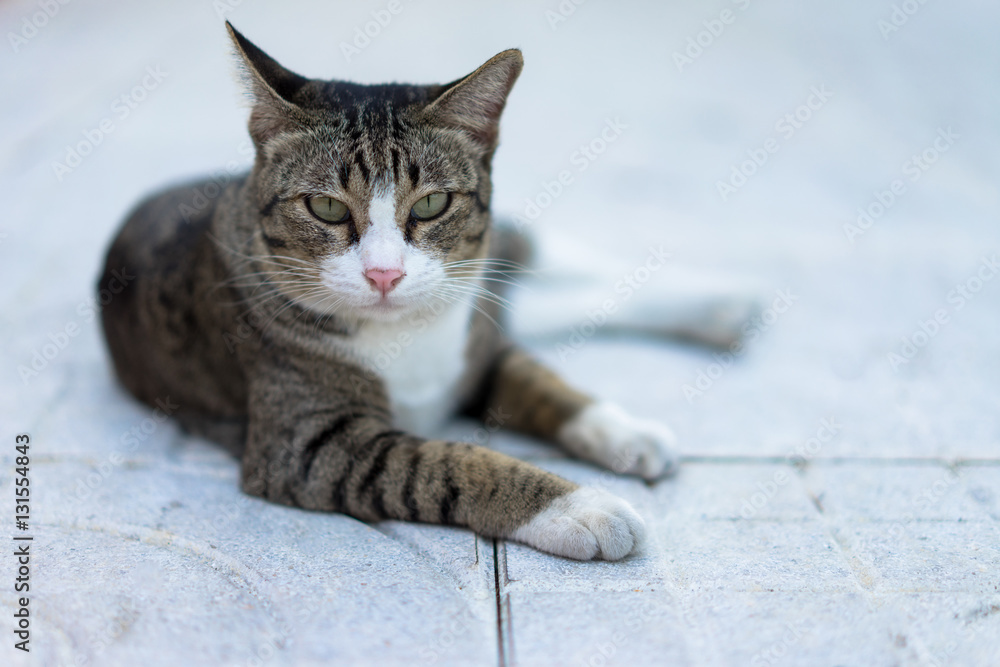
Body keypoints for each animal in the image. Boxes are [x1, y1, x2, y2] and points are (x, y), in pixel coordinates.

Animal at [99, 23, 680, 560]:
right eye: (326, 208)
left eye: (431, 204)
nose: (384, 274)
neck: (404, 332)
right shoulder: (309, 447)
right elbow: (450, 462)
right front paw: (579, 506)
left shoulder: (480, 346)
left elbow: (543, 383)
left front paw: (627, 433)